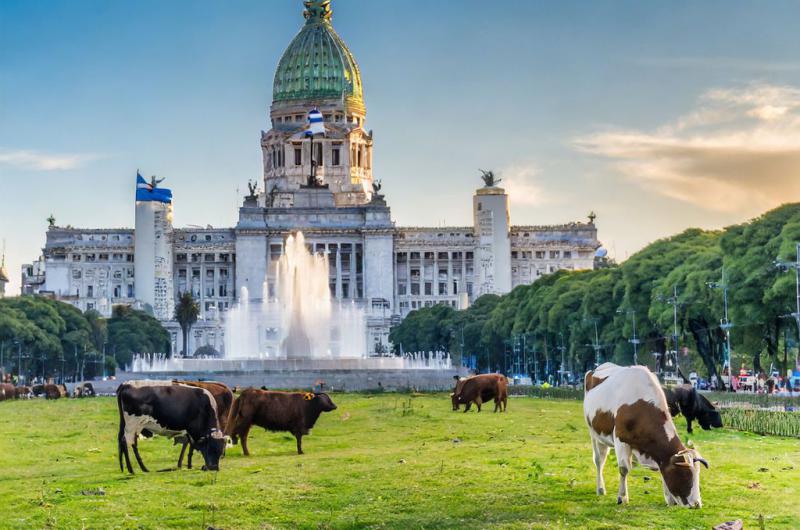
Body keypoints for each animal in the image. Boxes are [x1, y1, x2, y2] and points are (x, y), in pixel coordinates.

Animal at [584, 360, 708, 506]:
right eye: (685, 474)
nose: (697, 504)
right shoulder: (620, 439)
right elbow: (624, 469)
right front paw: (622, 497)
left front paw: (670, 499)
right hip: (594, 434)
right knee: (599, 460)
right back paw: (600, 488)